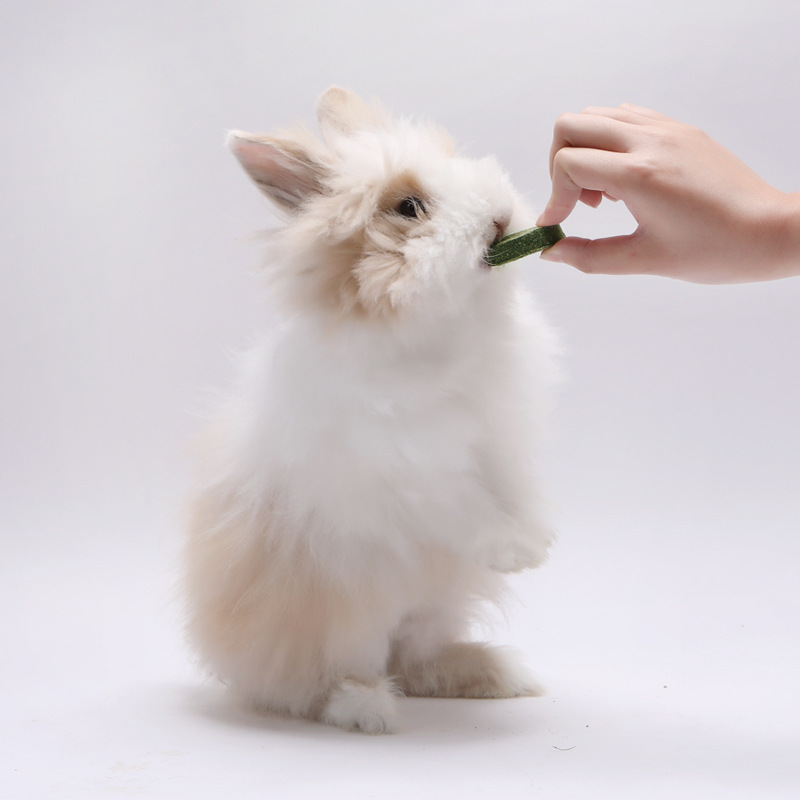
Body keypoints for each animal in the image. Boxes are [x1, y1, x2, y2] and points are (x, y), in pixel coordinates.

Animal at [184, 87, 557, 734]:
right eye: (408, 207)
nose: (501, 218)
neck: (437, 333)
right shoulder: (408, 467)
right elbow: (466, 509)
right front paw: (517, 553)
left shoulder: (497, 440)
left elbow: (511, 489)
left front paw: (538, 540)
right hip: (345, 616)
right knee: (323, 681)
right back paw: (370, 710)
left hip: (434, 606)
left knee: (416, 660)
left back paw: (498, 674)